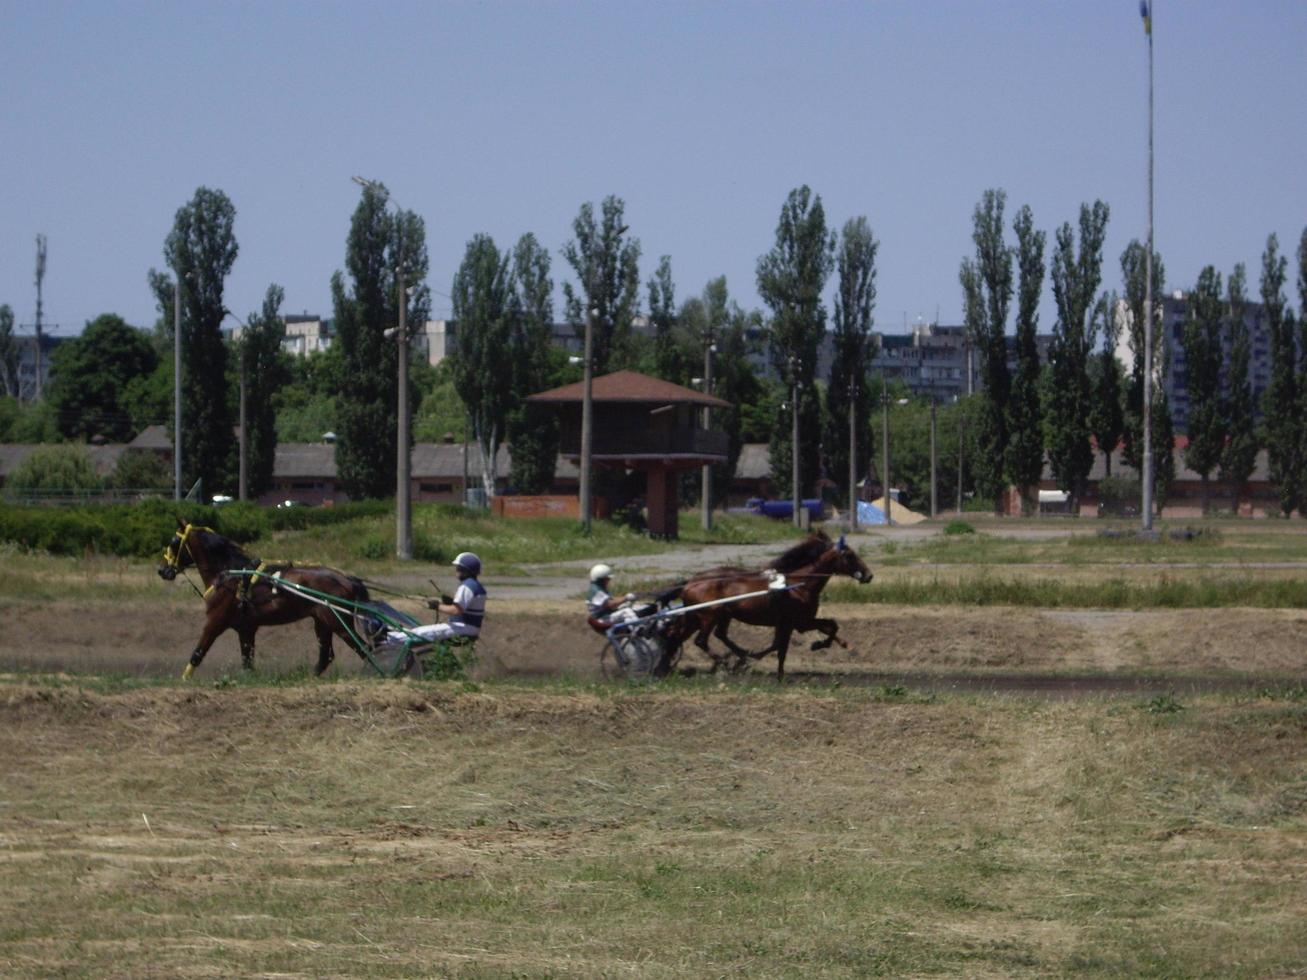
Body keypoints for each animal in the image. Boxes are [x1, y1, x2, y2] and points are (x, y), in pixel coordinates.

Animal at [159, 525, 373, 679]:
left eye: (173, 542)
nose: (161, 570)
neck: (230, 576)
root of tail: (347, 579)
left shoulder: (215, 622)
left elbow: (197, 653)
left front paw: (184, 680)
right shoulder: (246, 628)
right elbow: (247, 661)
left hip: (337, 621)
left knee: (363, 647)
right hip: (322, 622)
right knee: (326, 655)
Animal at [669, 533, 873, 679]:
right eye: (849, 555)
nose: (869, 575)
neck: (799, 585)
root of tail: (690, 583)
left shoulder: (797, 622)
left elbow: (830, 626)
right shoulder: (797, 623)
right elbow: (781, 647)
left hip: (715, 615)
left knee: (701, 635)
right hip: (709, 615)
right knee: (701, 640)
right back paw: (724, 662)